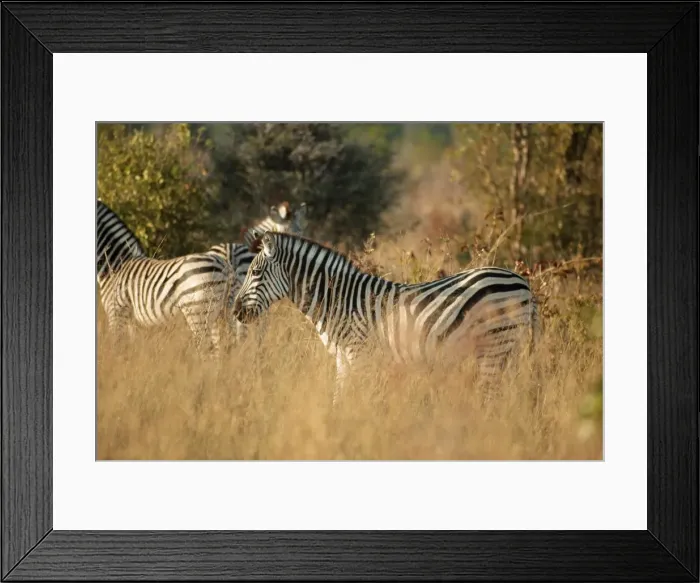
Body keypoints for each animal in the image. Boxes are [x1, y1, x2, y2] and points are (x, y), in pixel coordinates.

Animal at [97, 200, 234, 356]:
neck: (116, 265)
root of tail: (222, 263)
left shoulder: (116, 313)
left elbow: (117, 346)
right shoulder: (132, 321)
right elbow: (134, 347)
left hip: (198, 312)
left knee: (205, 348)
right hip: (221, 313)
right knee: (221, 348)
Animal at [232, 232, 540, 404]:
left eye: (255, 273)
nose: (235, 312)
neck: (338, 302)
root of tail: (522, 280)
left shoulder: (361, 357)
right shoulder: (343, 360)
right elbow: (338, 401)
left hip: (495, 345)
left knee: (491, 398)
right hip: (508, 350)